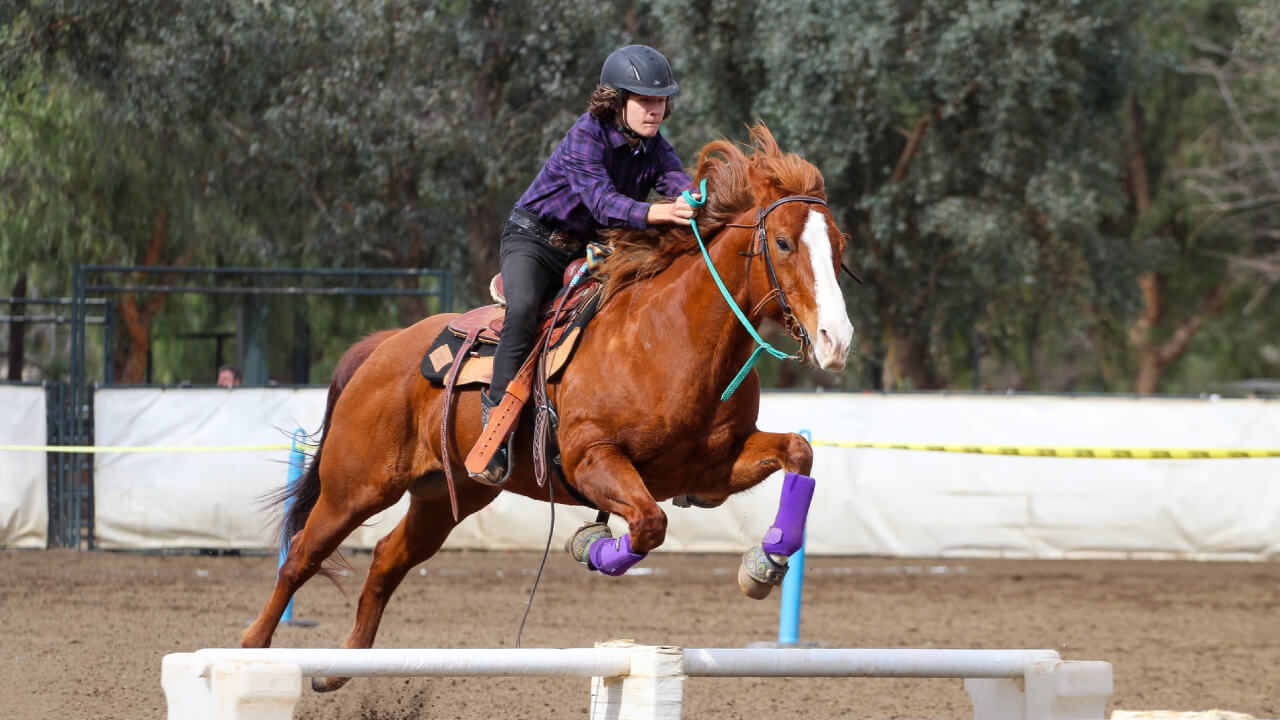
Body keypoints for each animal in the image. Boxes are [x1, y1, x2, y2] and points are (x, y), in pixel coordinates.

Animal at [241, 123, 855, 692]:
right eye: (782, 243)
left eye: (840, 245)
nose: (837, 339)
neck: (668, 337)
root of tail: (383, 347)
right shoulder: (591, 458)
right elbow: (648, 525)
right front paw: (594, 546)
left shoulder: (712, 470)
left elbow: (797, 453)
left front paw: (765, 563)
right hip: (355, 487)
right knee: (299, 557)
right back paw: (253, 650)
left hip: (444, 495)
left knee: (387, 558)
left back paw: (340, 668)